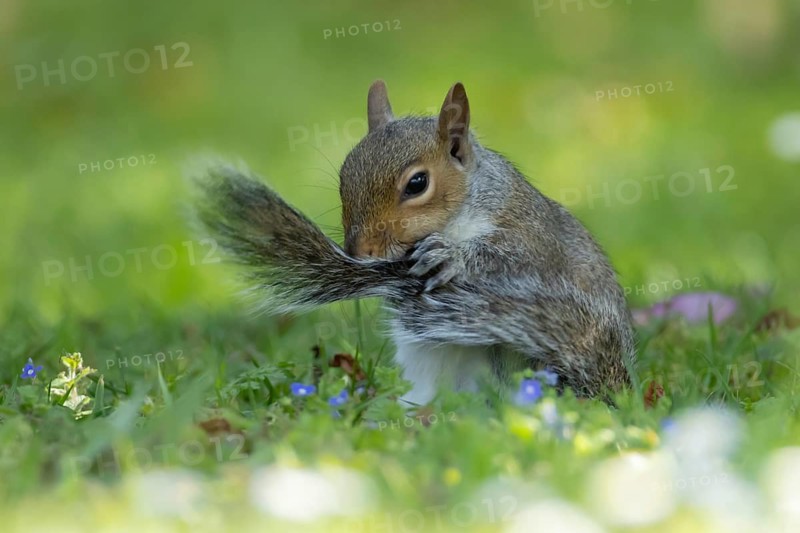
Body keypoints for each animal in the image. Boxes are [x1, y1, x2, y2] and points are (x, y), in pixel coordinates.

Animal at [191, 80, 636, 405]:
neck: (463, 210)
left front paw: (451, 257)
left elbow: (512, 255)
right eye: (343, 179)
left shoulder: (533, 235)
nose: (360, 253)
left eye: (417, 183)